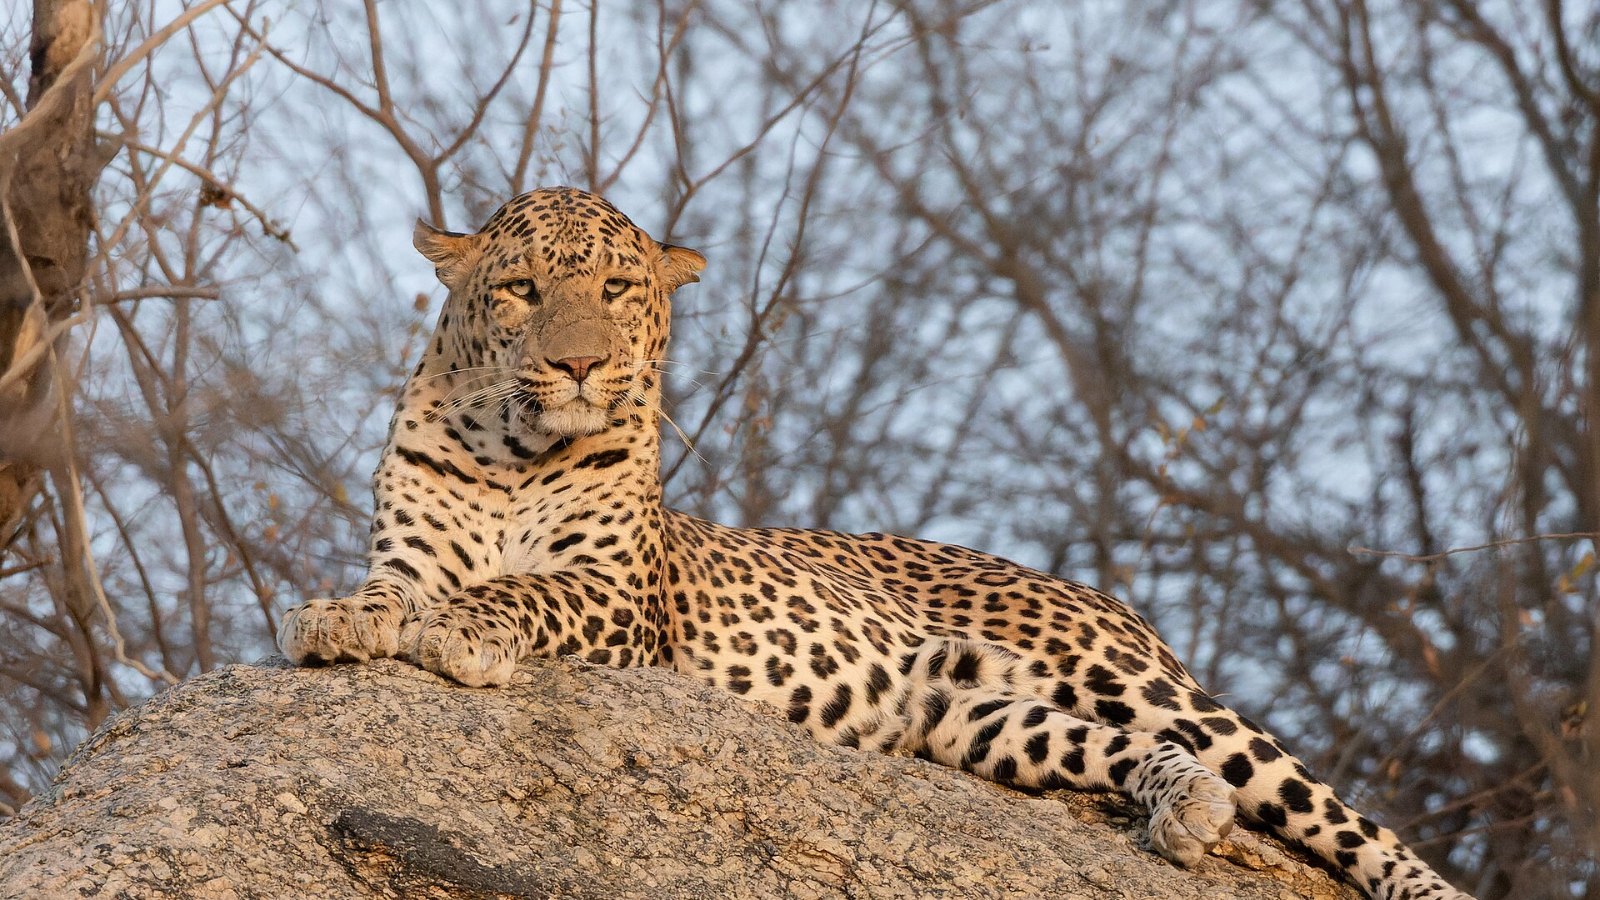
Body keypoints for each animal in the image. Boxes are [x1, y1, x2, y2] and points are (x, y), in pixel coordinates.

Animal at [279, 186, 1474, 900]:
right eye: (522, 291)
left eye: (617, 291)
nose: (578, 366)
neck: (512, 451)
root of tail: (1091, 592)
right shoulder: (411, 553)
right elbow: (389, 593)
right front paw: (336, 618)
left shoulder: (619, 592)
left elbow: (524, 592)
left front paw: (464, 631)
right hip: (976, 721)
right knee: (1126, 754)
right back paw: (1184, 809)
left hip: (1139, 682)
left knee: (1340, 814)